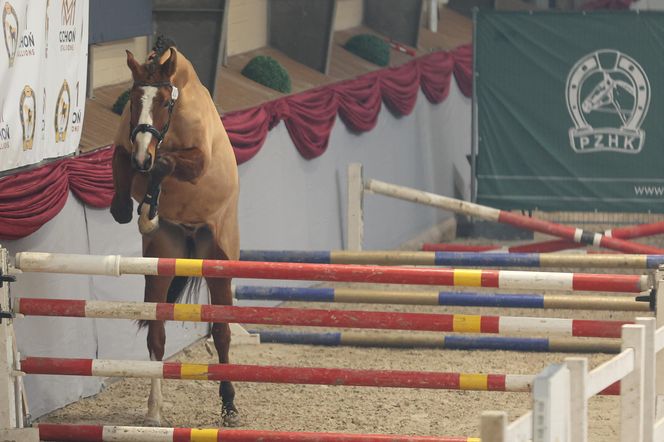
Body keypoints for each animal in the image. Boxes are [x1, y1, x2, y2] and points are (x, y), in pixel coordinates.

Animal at [109, 38, 241, 428]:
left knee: (222, 333)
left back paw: (229, 405)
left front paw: (149, 210)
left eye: (166, 102)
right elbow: (121, 163)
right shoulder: (127, 147)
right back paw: (154, 410)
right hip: (162, 262)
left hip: (219, 261)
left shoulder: (197, 162)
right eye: (133, 99)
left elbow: (165, 164)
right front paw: (130, 210)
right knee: (157, 335)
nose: (142, 156)